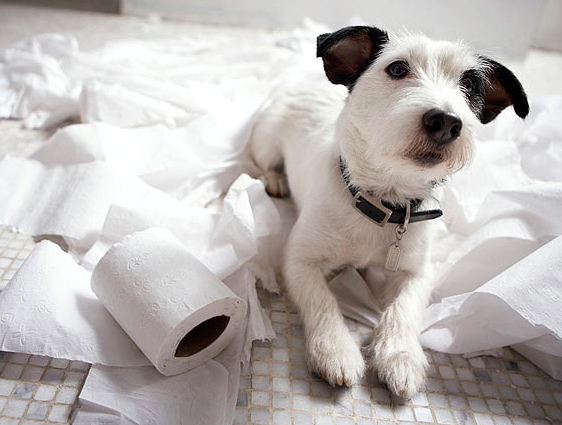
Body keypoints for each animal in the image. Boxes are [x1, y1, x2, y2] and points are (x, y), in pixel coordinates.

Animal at [247, 25, 528, 398]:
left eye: (470, 84)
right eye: (397, 68)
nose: (446, 121)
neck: (384, 203)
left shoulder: (417, 272)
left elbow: (404, 307)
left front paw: (400, 354)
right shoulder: (298, 261)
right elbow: (322, 300)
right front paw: (335, 349)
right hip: (266, 140)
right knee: (263, 163)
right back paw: (276, 179)